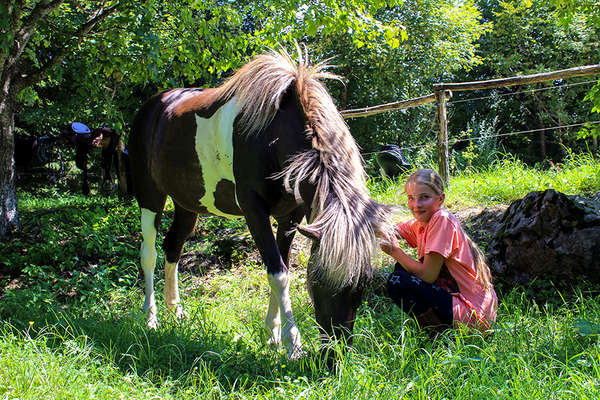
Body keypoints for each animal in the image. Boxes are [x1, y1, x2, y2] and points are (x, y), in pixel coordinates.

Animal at [129, 47, 394, 360]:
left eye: (362, 286)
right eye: (318, 282)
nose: (334, 358)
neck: (273, 136)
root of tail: (154, 106)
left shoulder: (292, 216)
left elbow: (282, 267)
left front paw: (273, 334)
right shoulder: (254, 211)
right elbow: (277, 273)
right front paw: (292, 343)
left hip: (187, 204)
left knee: (173, 247)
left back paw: (175, 310)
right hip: (150, 197)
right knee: (149, 253)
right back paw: (151, 318)